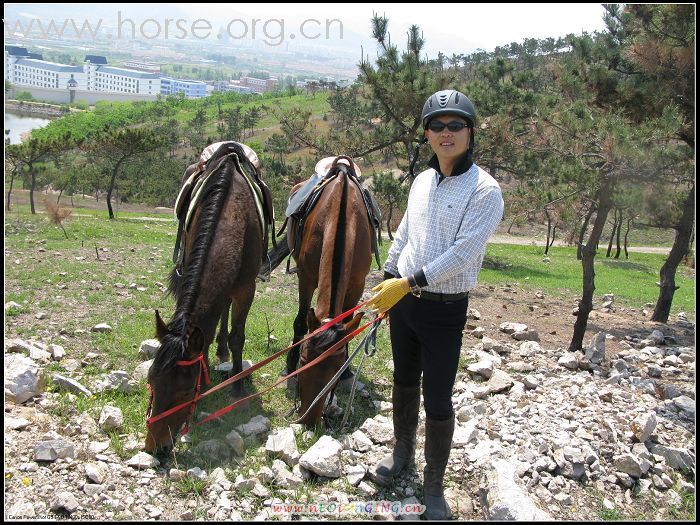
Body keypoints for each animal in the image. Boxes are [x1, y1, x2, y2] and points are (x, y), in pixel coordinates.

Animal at [145, 143, 262, 454]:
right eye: (151, 381)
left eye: (185, 391)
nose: (155, 447)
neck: (232, 214)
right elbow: (206, 332)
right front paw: (207, 371)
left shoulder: (246, 288)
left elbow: (237, 336)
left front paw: (237, 387)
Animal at [284, 156, 374, 426]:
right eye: (304, 360)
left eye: (334, 371)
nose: (309, 420)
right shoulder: (305, 277)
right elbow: (300, 322)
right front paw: (289, 368)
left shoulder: (357, 284)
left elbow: (349, 326)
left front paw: (348, 372)